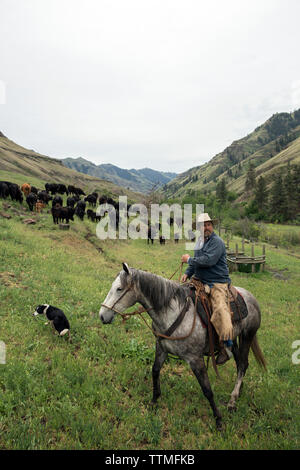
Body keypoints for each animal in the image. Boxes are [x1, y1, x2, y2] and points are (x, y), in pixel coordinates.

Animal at [99, 262, 266, 432]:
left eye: (119, 288)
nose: (102, 315)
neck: (171, 313)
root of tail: (251, 297)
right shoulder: (162, 349)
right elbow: (155, 371)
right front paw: (154, 400)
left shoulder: (195, 359)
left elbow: (207, 390)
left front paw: (218, 420)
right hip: (234, 339)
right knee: (239, 363)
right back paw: (238, 391)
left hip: (247, 336)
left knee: (243, 364)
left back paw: (232, 401)